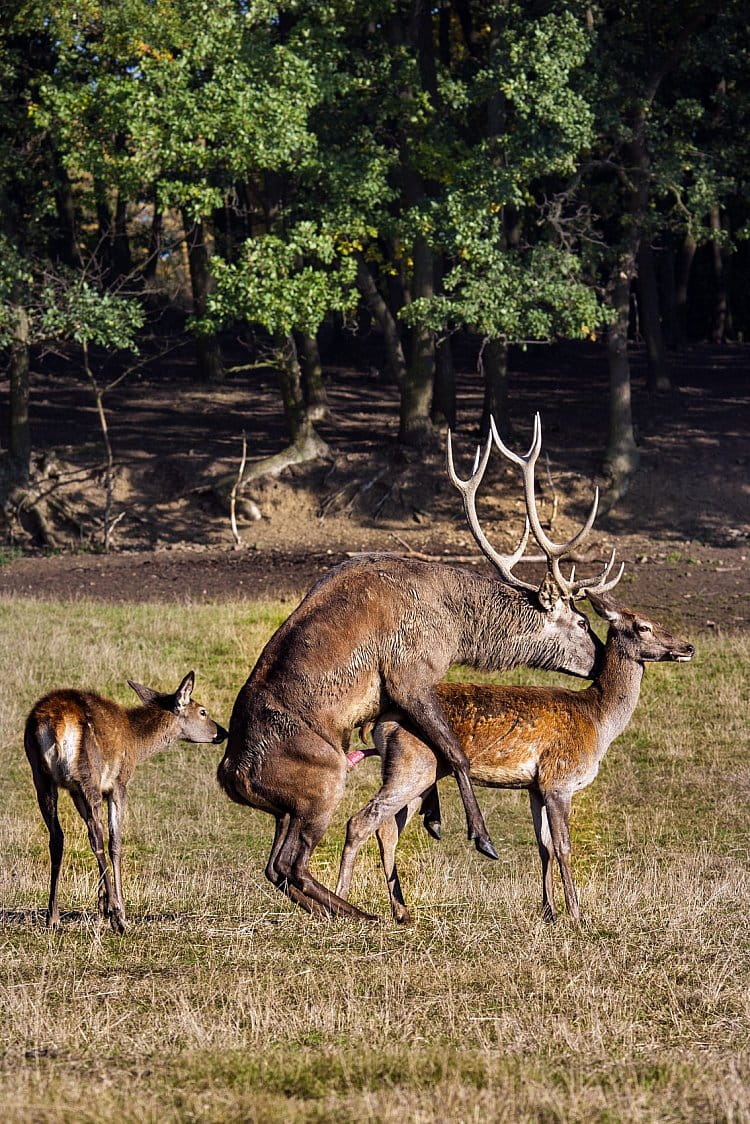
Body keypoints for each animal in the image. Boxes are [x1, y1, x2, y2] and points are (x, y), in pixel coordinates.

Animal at [24, 669, 227, 935]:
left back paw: (53, 917)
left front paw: (101, 903)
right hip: (88, 775)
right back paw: (117, 918)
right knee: (97, 839)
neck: (136, 742)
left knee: (57, 837)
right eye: (203, 711)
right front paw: (115, 909)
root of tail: (54, 722)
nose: (223, 732)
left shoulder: (74, 793)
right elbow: (115, 843)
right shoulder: (117, 784)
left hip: (41, 776)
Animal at [215, 415, 620, 921]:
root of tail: (232, 776)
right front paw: (477, 836)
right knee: (294, 863)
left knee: (275, 866)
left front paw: (432, 814)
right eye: (583, 621)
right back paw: (362, 914)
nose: (603, 661)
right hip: (323, 779)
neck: (457, 629)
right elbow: (455, 751)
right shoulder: (411, 671)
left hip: (286, 808)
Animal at [337, 593, 697, 926]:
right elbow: (564, 846)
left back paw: (401, 910)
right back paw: (343, 903)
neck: (599, 721)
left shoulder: (534, 787)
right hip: (413, 766)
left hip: (416, 774)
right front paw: (576, 914)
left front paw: (549, 912)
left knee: (387, 829)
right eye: (643, 626)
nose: (688, 647)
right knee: (361, 821)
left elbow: (544, 846)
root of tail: (377, 722)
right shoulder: (559, 780)